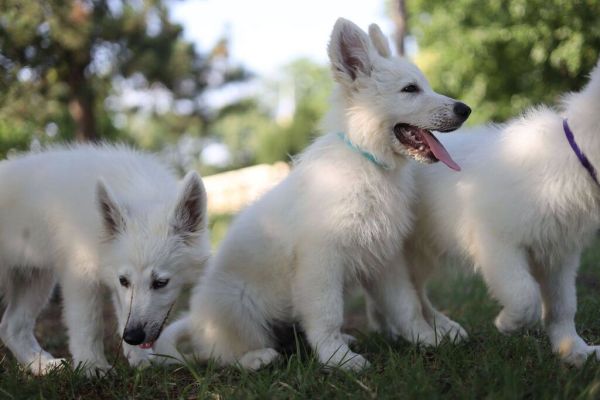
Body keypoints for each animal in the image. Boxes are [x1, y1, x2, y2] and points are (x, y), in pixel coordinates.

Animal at [0, 145, 211, 376]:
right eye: (124, 281)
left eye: (161, 283)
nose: (133, 336)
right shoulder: (80, 275)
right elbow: (89, 324)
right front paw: (92, 366)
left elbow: (123, 314)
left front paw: (140, 358)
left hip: (35, 279)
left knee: (12, 327)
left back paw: (43, 365)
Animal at [154, 17, 468, 370]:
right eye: (410, 89)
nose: (465, 109)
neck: (367, 161)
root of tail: (195, 320)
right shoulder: (321, 261)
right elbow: (327, 313)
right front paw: (338, 359)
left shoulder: (385, 259)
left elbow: (406, 305)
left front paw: (427, 339)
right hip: (238, 309)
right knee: (217, 354)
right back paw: (256, 358)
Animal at [392, 58, 600, 366]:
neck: (577, 157)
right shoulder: (497, 243)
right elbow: (524, 294)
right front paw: (508, 323)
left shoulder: (559, 254)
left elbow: (563, 306)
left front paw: (574, 350)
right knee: (410, 291)